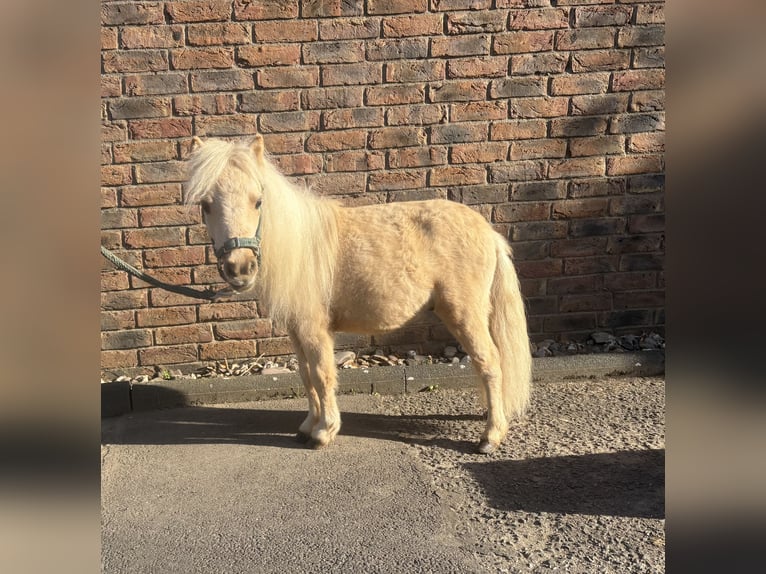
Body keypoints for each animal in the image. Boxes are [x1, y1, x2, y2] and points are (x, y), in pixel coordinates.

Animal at [184, 135, 532, 454]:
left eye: (258, 201)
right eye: (205, 204)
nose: (239, 268)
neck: (299, 247)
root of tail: (489, 233)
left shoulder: (314, 330)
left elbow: (322, 375)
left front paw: (323, 432)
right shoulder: (297, 331)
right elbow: (306, 375)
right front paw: (307, 426)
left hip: (464, 315)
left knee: (489, 362)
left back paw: (490, 436)